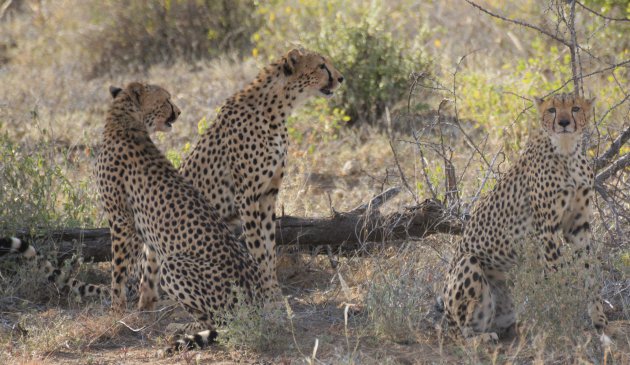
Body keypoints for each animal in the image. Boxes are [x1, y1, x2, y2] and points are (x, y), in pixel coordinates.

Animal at [95, 81, 262, 352]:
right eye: (166, 100)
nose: (179, 111)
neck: (125, 122)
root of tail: (259, 300)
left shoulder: (121, 221)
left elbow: (118, 273)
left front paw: (115, 313)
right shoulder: (140, 230)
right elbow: (143, 272)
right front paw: (142, 310)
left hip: (174, 264)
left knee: (220, 320)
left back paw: (180, 327)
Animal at [178, 47, 346, 298]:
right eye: (321, 66)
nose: (341, 78)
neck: (277, 108)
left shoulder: (268, 194)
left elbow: (269, 246)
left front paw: (274, 291)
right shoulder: (246, 196)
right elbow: (257, 247)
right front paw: (267, 293)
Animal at [442, 91, 608, 342]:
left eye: (576, 108)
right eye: (552, 110)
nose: (564, 123)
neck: (567, 151)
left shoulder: (578, 226)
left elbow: (590, 271)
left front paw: (599, 318)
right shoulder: (546, 229)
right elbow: (558, 274)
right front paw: (567, 319)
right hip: (467, 263)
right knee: (458, 333)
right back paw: (479, 338)